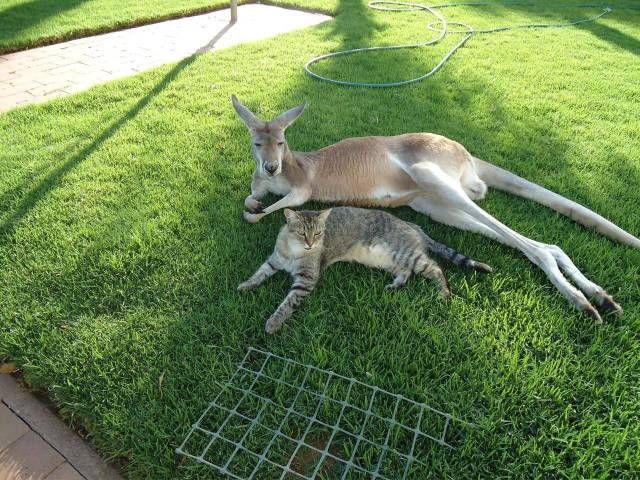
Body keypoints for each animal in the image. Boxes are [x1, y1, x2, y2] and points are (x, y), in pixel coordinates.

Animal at [238, 206, 492, 334]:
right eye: (302, 233)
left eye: (318, 234)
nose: (311, 244)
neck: (294, 252)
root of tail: (413, 225)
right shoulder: (274, 261)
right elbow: (259, 273)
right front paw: (246, 285)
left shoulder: (306, 279)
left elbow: (287, 304)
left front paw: (273, 322)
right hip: (389, 260)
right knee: (407, 272)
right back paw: (395, 285)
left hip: (407, 254)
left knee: (435, 268)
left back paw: (443, 292)